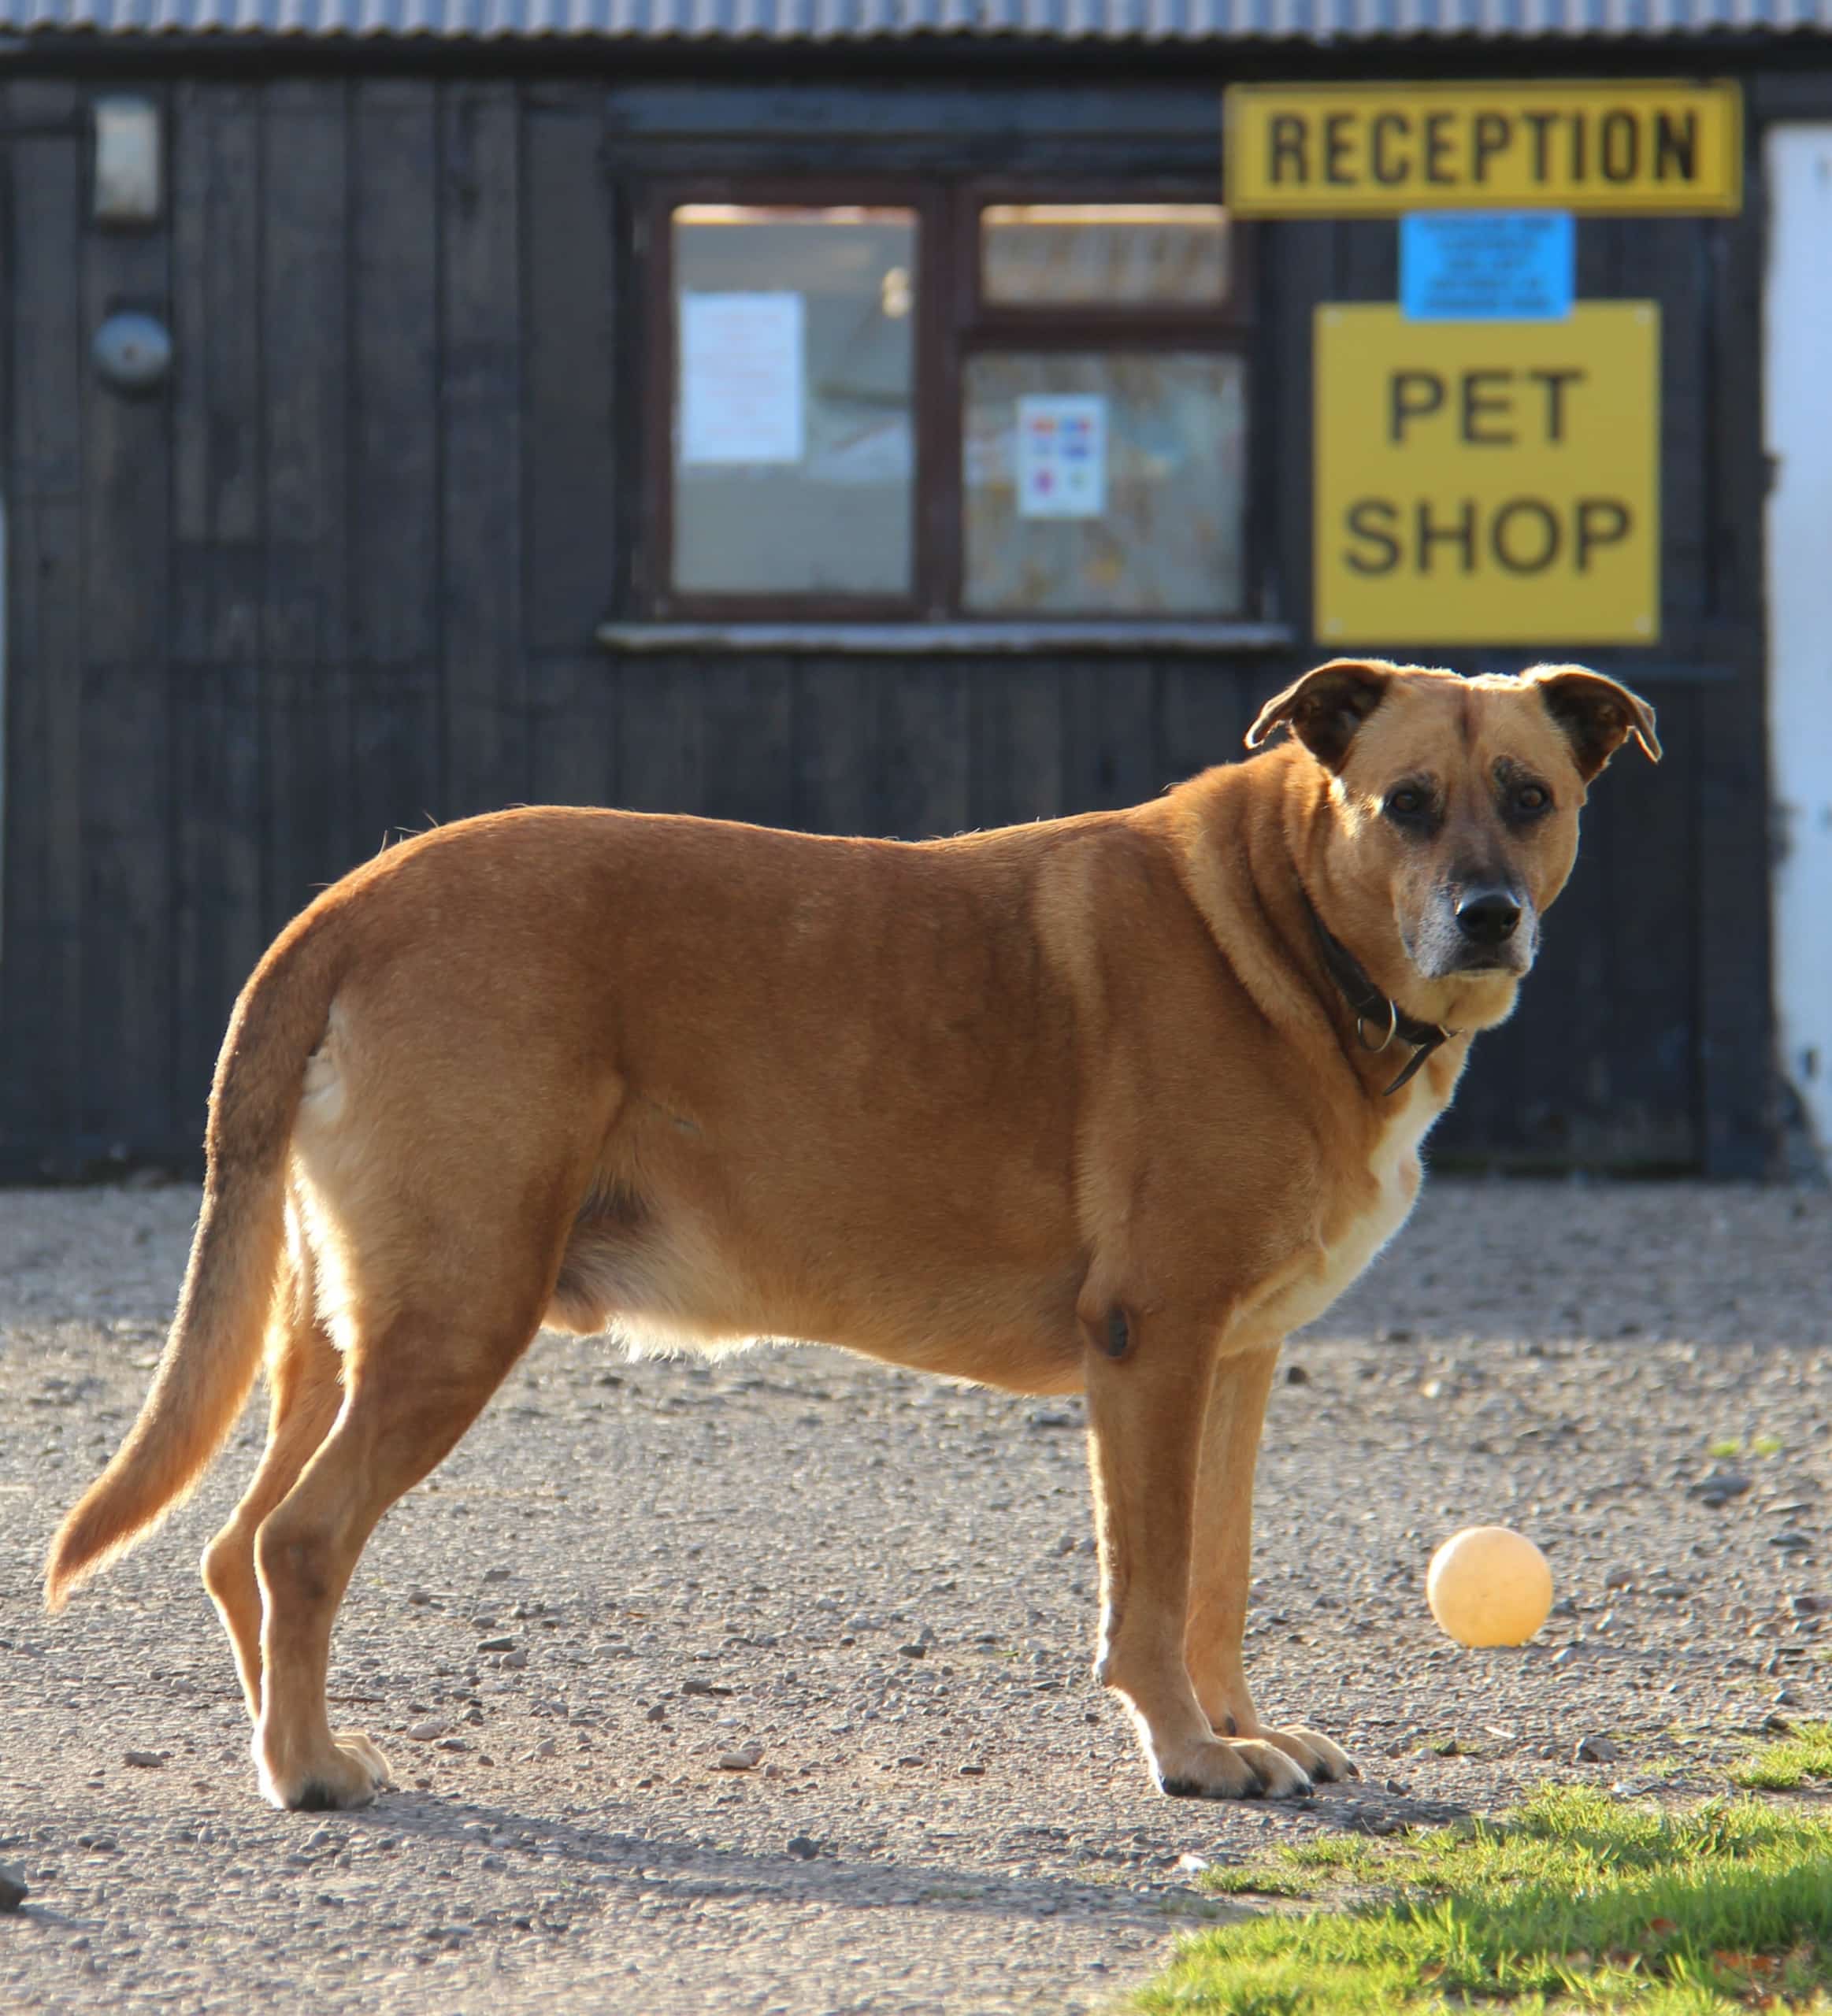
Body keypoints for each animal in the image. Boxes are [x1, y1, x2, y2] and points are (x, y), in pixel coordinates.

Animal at [43, 661, 1652, 1814]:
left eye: (1527, 794)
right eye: (1405, 804)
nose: (1488, 916)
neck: (1281, 923)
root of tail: (355, 895)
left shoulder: (1236, 1365)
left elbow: (1216, 1580)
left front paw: (1240, 1727)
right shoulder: (1153, 1347)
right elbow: (1147, 1591)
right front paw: (1188, 1755)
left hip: (342, 1330)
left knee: (236, 1547)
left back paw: (281, 1742)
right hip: (457, 1316)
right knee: (302, 1541)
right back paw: (307, 1771)